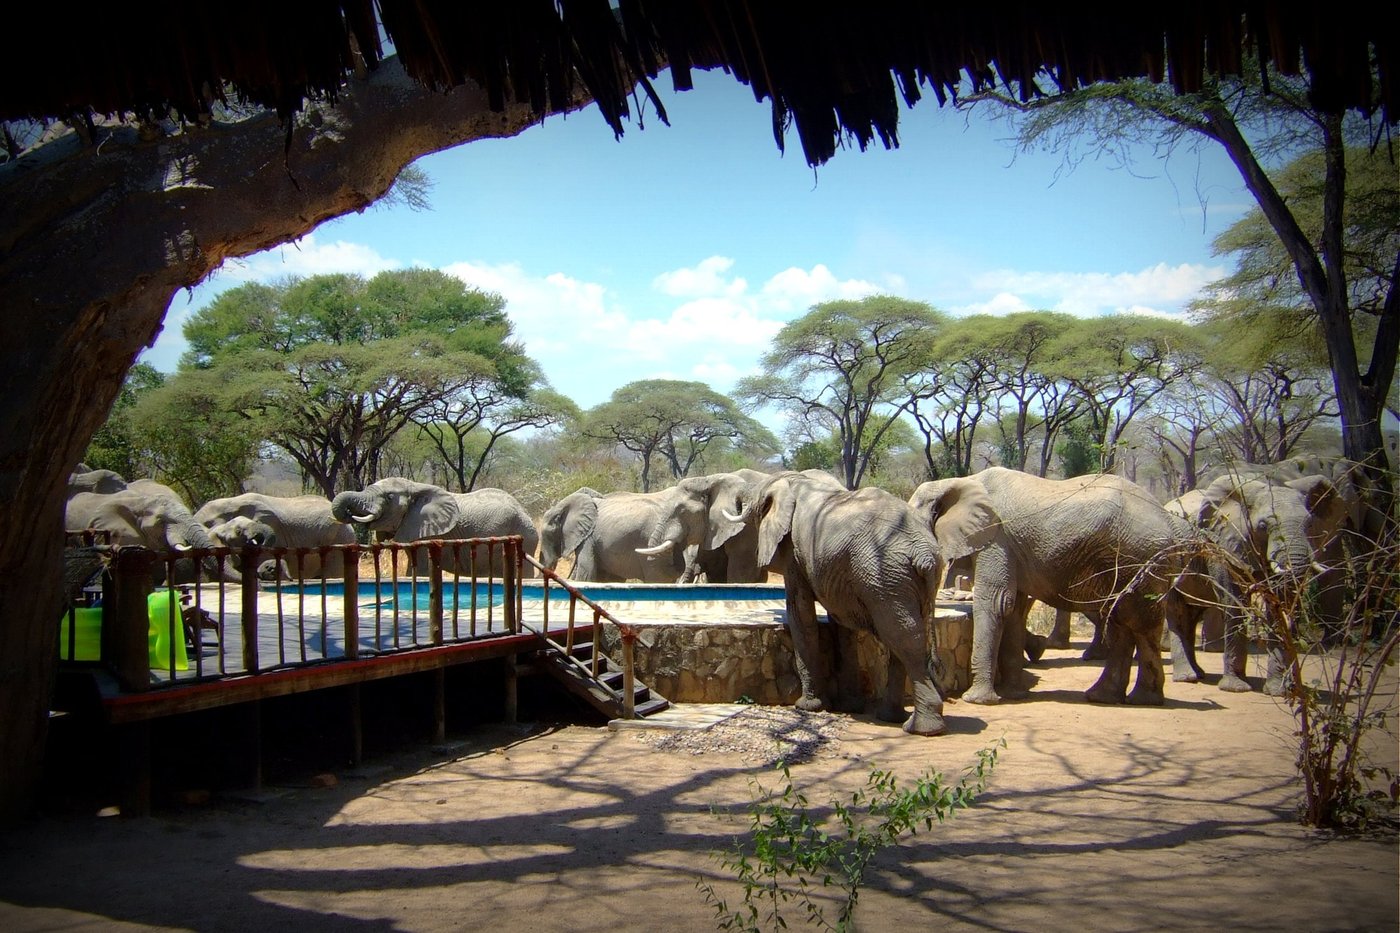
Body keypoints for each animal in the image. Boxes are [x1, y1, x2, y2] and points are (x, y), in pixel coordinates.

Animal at [330, 477, 538, 577]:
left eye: (389, 497)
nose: (348, 512)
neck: (414, 486)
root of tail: (525, 512)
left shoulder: (425, 533)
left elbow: (420, 569)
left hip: (524, 536)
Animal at [724, 470, 976, 735]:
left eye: (756, 501)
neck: (796, 480)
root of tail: (925, 555)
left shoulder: (794, 552)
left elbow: (801, 614)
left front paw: (807, 706)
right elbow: (841, 625)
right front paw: (849, 706)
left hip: (885, 575)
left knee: (903, 637)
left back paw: (921, 728)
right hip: (904, 579)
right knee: (903, 635)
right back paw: (892, 717)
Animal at [908, 467, 1209, 707]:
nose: (938, 672)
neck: (957, 481)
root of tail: (1167, 518)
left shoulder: (996, 537)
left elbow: (996, 602)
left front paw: (978, 700)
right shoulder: (1011, 548)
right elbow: (1014, 607)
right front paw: (1014, 694)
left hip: (1140, 558)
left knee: (1140, 623)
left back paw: (1141, 700)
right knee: (1121, 622)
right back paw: (1104, 696)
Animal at [1167, 472, 1348, 694]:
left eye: (1310, 525)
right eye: (1263, 526)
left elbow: (1278, 605)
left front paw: (1278, 691)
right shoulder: (1219, 545)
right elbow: (1233, 601)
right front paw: (1235, 688)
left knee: (1191, 614)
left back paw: (1198, 674)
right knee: (1177, 612)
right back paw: (1187, 677)